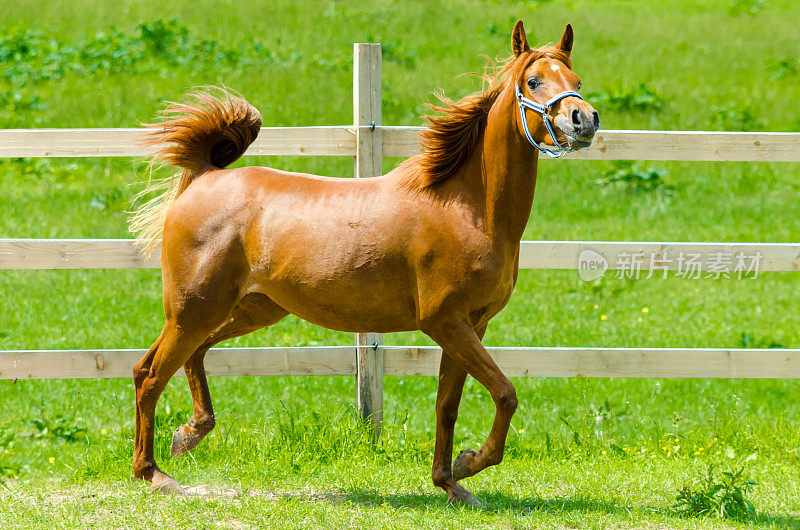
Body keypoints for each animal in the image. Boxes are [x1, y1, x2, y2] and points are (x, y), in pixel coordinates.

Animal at [128, 21, 596, 504]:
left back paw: (189, 433)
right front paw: (470, 463)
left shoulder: (471, 324)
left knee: (191, 355)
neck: (468, 207)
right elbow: (505, 393)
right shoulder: (445, 321)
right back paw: (153, 473)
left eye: (577, 82)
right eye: (533, 81)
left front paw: (450, 482)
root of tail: (204, 178)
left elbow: (447, 405)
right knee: (149, 374)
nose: (584, 120)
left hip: (249, 310)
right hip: (193, 310)